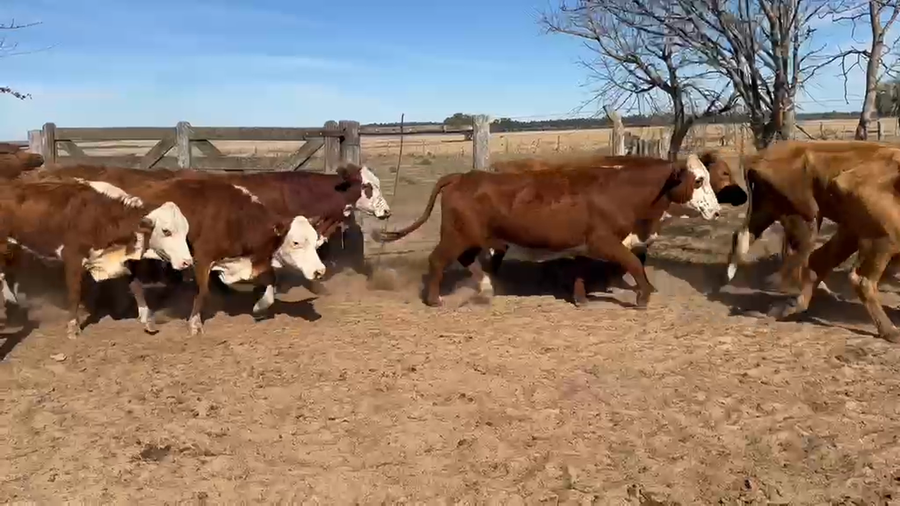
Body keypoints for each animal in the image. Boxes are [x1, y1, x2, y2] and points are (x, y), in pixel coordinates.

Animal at [0, 178, 192, 339]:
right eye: (166, 231)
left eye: (185, 231)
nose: (187, 261)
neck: (101, 216)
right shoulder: (73, 258)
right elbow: (74, 293)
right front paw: (73, 328)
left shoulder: (120, 259)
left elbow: (136, 285)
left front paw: (147, 318)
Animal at [34, 165, 327, 336]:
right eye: (296, 242)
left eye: (315, 240)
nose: (319, 271)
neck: (235, 216)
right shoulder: (202, 258)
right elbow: (202, 291)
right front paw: (194, 323)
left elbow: (269, 281)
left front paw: (259, 306)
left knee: (133, 283)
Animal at [372, 158, 715, 308]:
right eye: (698, 181)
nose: (716, 211)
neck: (620, 191)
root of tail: (462, 176)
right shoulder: (605, 241)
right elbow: (633, 264)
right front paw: (643, 296)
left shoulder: (587, 245)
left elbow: (581, 271)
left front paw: (580, 299)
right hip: (456, 236)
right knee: (438, 261)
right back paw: (434, 299)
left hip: (468, 237)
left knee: (468, 261)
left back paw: (486, 287)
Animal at [723, 140, 900, 342]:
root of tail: (756, 158)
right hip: (822, 223)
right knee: (853, 276)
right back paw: (890, 331)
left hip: (775, 213)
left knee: (746, 238)